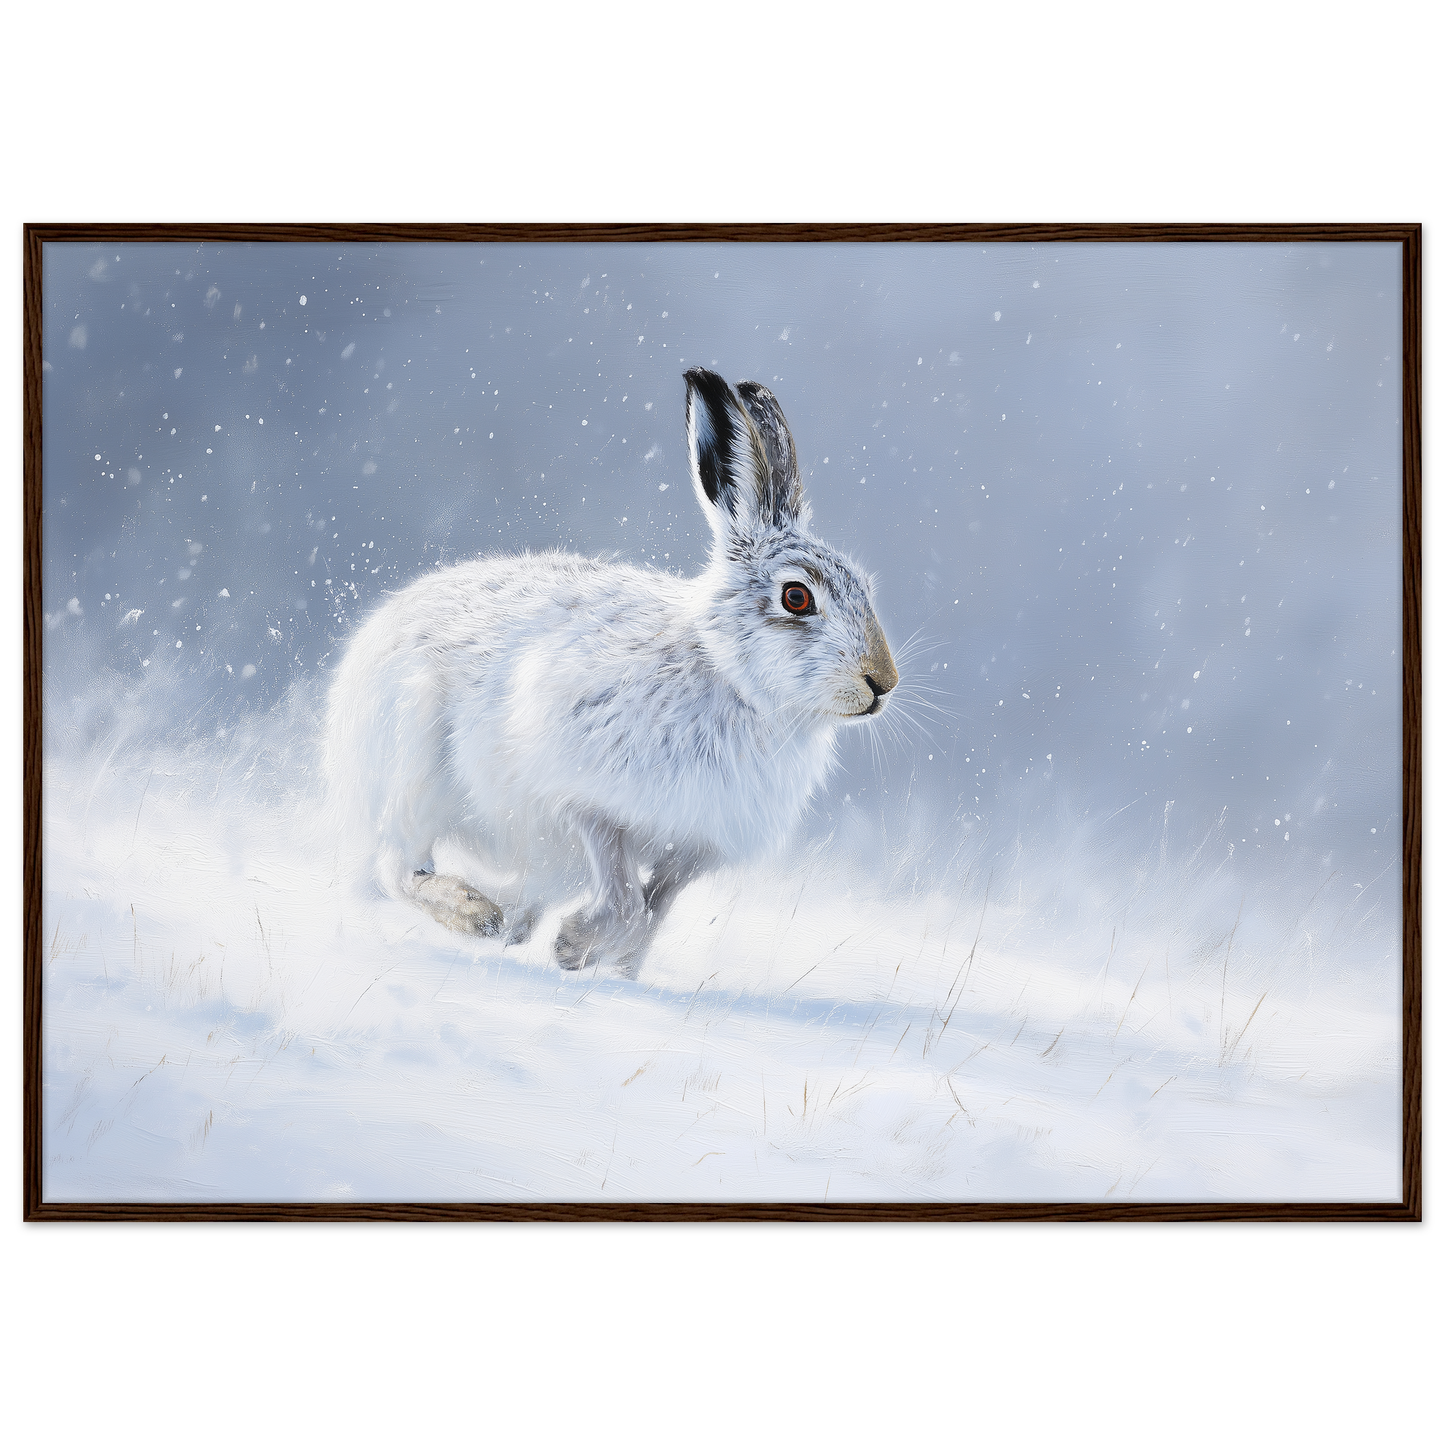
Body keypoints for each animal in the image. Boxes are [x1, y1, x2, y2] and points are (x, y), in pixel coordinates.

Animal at [323, 368, 899, 973]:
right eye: (796, 597)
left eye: (865, 587)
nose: (883, 682)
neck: (730, 677)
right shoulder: (587, 800)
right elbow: (625, 901)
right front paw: (573, 944)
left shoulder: (693, 848)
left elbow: (651, 916)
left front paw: (607, 967)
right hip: (415, 763)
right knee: (397, 867)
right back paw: (476, 915)